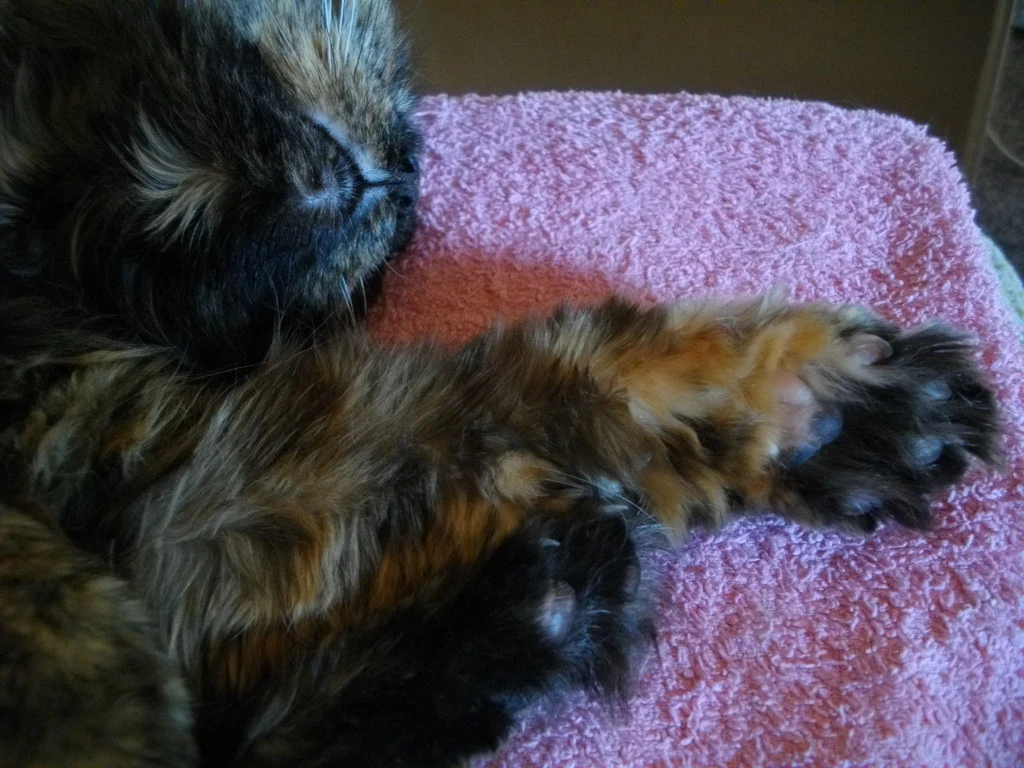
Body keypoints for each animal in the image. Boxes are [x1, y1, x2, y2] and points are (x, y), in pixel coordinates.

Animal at [0, 1, 1001, 767]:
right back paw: (540, 610)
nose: (408, 166)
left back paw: (544, 607)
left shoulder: (184, 474)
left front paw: (814, 404)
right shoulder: (160, 476)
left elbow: (544, 392)